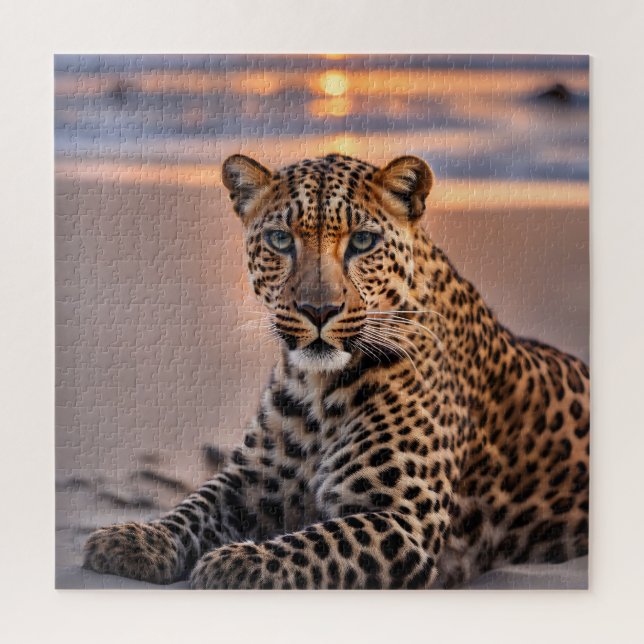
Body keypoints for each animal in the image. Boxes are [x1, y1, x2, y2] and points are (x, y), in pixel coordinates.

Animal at [84, 153, 590, 589]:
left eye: (362, 242)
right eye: (280, 240)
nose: (319, 310)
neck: (318, 390)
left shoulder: (401, 520)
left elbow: (315, 543)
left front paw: (237, 561)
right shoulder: (249, 481)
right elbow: (194, 506)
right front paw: (135, 537)